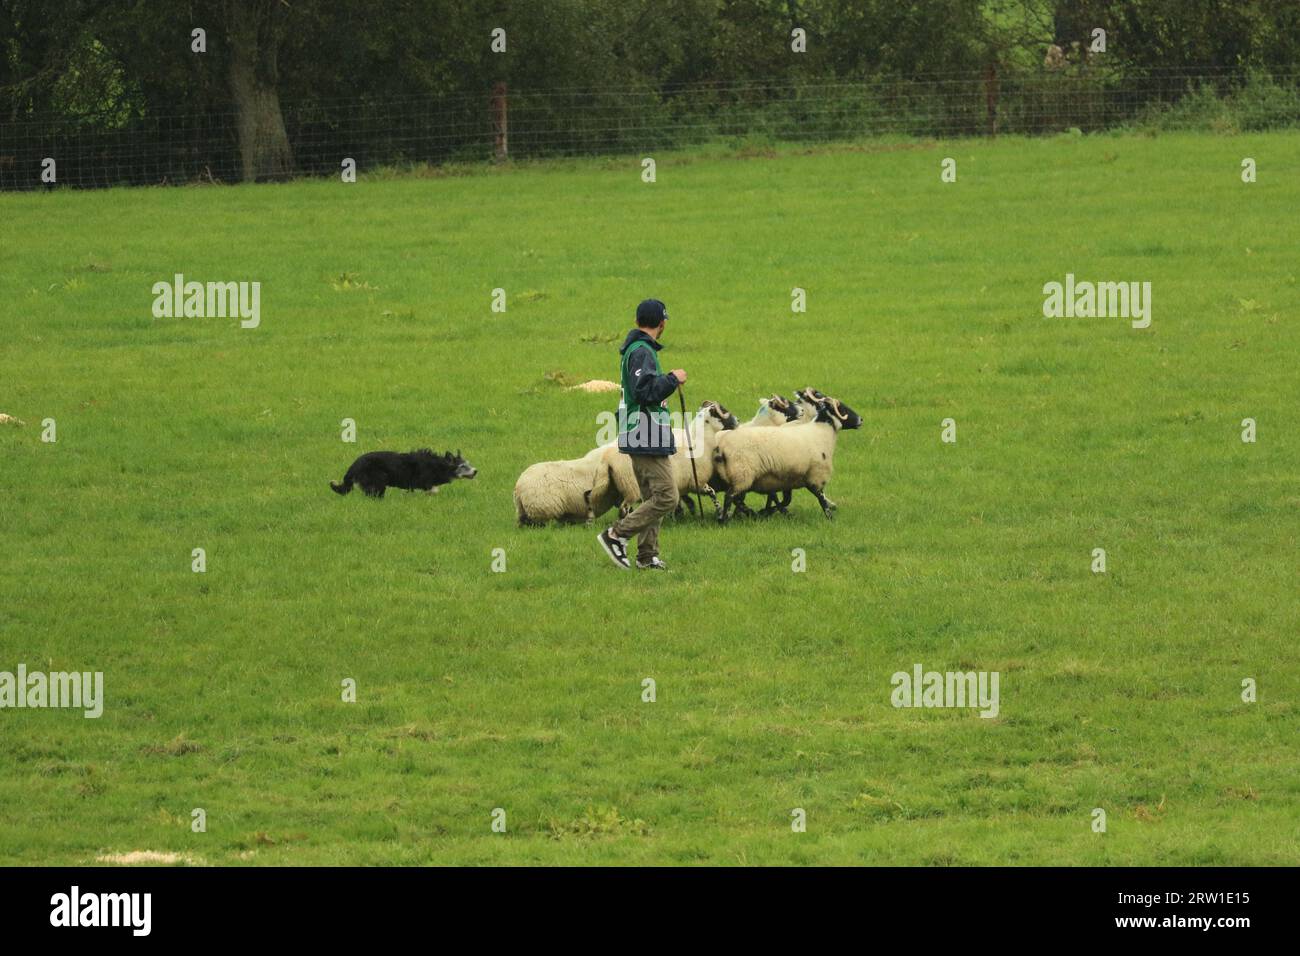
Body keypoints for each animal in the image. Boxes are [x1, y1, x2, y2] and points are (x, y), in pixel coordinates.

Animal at [712, 390, 863, 522]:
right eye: (842, 409)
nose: (861, 419)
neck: (821, 431)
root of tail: (720, 448)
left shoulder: (788, 478)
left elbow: (785, 500)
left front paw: (769, 512)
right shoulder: (815, 475)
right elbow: (821, 499)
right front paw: (830, 518)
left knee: (736, 499)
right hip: (742, 475)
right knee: (730, 497)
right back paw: (726, 519)